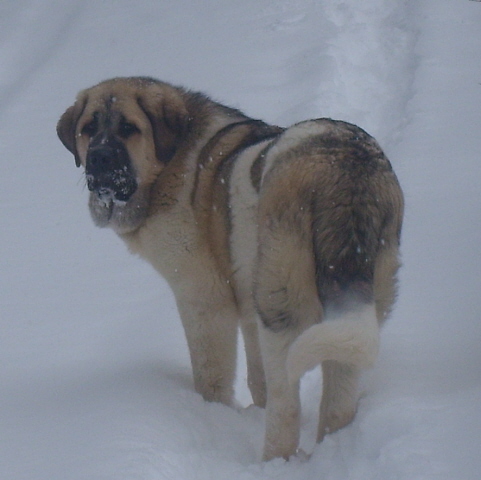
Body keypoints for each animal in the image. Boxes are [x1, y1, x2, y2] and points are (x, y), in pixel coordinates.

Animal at [56, 76, 404, 462]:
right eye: (88, 129)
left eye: (129, 128)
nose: (99, 158)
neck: (172, 163)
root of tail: (343, 169)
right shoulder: (247, 303)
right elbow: (256, 375)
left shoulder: (203, 299)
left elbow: (212, 375)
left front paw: (214, 414)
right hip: (363, 293)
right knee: (339, 393)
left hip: (281, 301)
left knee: (287, 403)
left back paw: (274, 460)